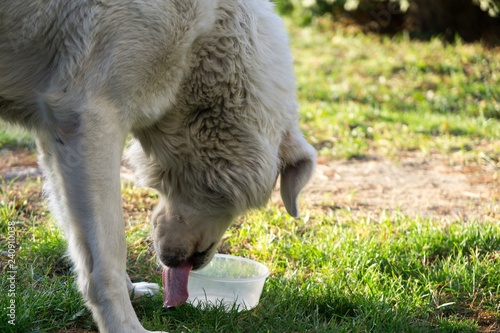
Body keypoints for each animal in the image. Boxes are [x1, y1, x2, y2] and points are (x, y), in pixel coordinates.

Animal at [0, 1, 314, 330]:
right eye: (225, 198)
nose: (196, 261)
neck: (206, 34)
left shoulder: (58, 136)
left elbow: (81, 244)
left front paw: (132, 291)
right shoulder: (91, 119)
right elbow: (109, 253)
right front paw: (126, 327)